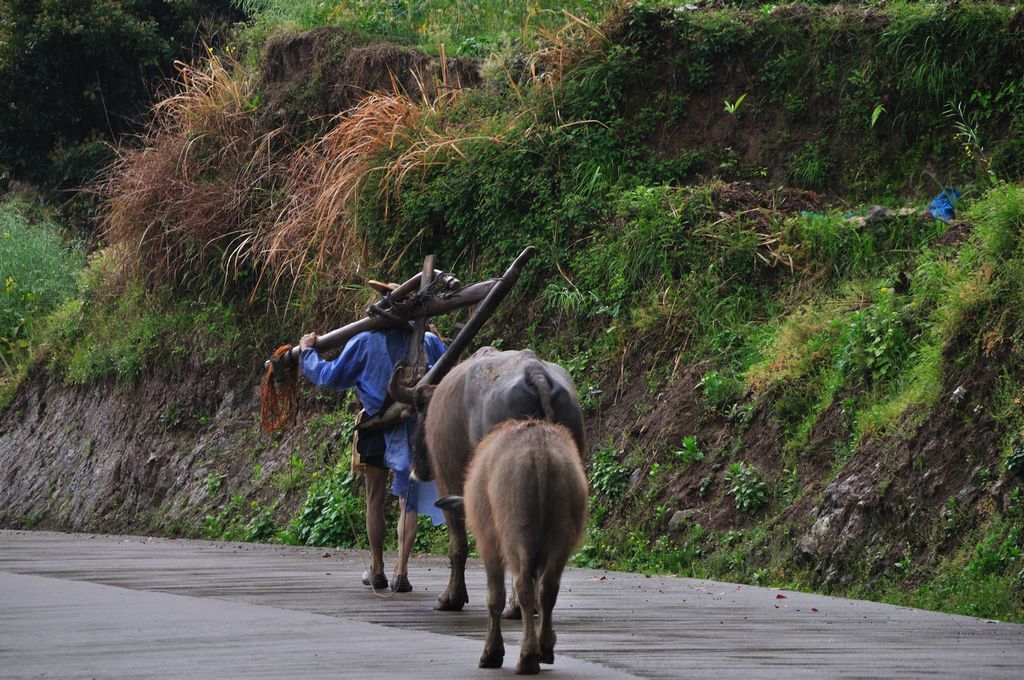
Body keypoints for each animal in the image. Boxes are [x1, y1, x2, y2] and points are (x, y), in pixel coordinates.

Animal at [391, 346, 585, 610]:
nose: (417, 467)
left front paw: (451, 597)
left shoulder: (447, 480)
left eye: (420, 412)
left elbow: (458, 544)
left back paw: (515, 606)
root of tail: (534, 371)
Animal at [436, 419, 589, 675]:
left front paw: (492, 653)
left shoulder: (489, 545)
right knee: (547, 589)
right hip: (561, 538)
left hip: (516, 537)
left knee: (524, 586)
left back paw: (527, 656)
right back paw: (544, 648)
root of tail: (540, 453)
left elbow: (494, 597)